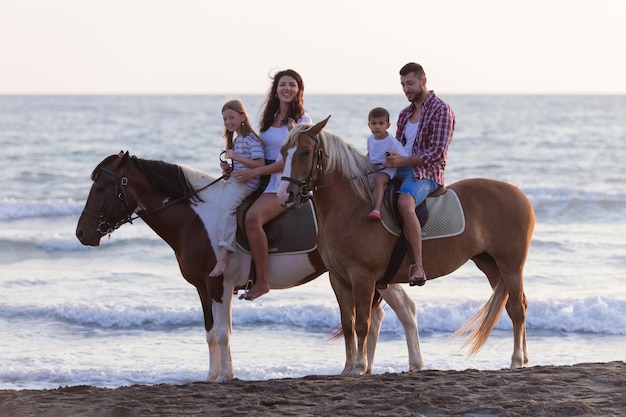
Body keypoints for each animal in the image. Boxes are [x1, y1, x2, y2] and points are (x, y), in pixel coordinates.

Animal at [75, 151, 422, 382]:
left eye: (101, 188)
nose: (82, 233)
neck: (200, 220)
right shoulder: (204, 289)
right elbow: (210, 333)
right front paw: (212, 376)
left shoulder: (219, 285)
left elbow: (223, 332)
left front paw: (226, 375)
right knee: (381, 316)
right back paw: (372, 367)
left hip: (368, 273)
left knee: (403, 310)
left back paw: (406, 365)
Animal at [278, 118, 536, 374]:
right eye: (282, 152)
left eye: (306, 152)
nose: (285, 196)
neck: (353, 208)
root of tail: (518, 193)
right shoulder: (338, 279)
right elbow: (347, 323)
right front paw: (348, 368)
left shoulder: (363, 277)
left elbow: (362, 323)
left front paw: (360, 366)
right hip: (490, 264)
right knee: (516, 304)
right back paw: (523, 358)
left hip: (510, 265)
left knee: (517, 307)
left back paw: (516, 360)